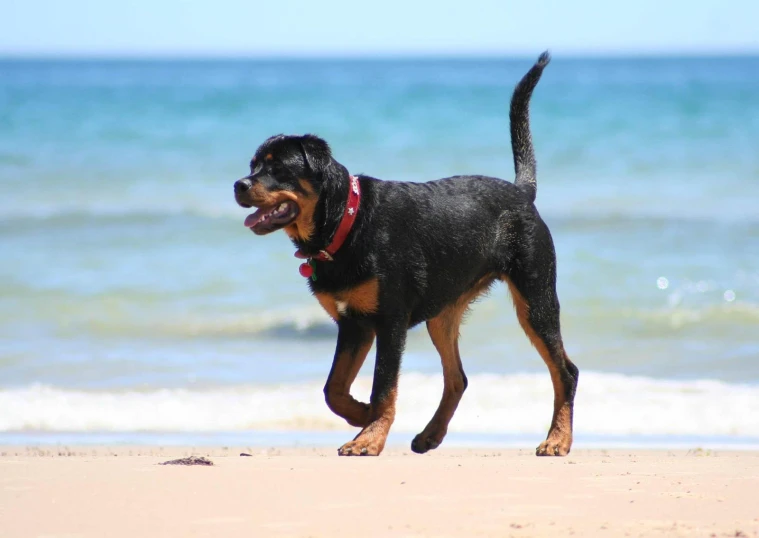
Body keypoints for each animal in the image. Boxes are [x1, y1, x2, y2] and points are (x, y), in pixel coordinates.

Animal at [235, 50, 580, 454]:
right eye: (253, 165)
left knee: (565, 371)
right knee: (457, 377)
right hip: (443, 314)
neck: (347, 222)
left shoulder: (390, 321)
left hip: (535, 298)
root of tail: (522, 192)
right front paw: (361, 415)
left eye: (277, 167)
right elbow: (333, 389)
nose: (239, 185)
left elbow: (383, 386)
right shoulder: (353, 325)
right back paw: (431, 434)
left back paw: (557, 439)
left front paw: (368, 438)